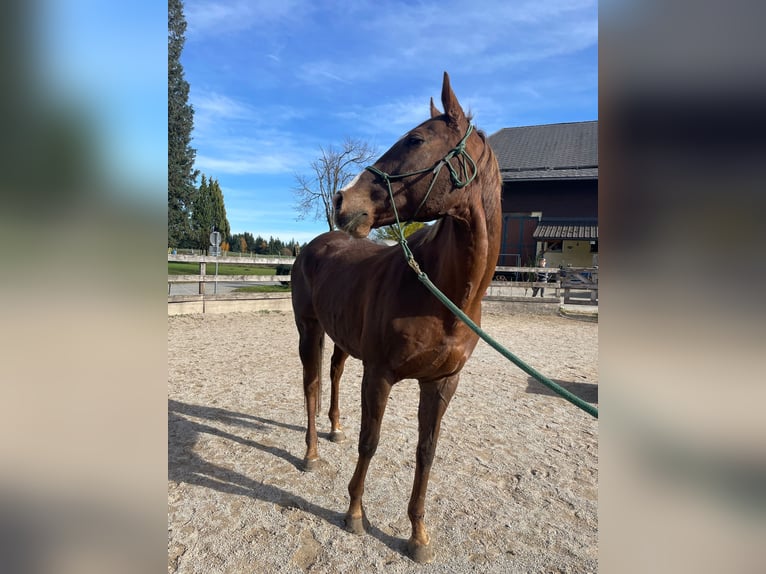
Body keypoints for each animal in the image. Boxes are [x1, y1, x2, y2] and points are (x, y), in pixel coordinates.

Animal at [290, 72, 502, 563]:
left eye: (416, 139)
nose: (342, 199)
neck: (440, 294)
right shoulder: (380, 374)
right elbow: (371, 442)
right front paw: (354, 514)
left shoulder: (442, 383)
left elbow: (427, 452)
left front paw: (418, 535)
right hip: (310, 330)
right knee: (312, 384)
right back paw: (311, 452)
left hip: (342, 339)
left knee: (333, 375)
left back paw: (334, 428)